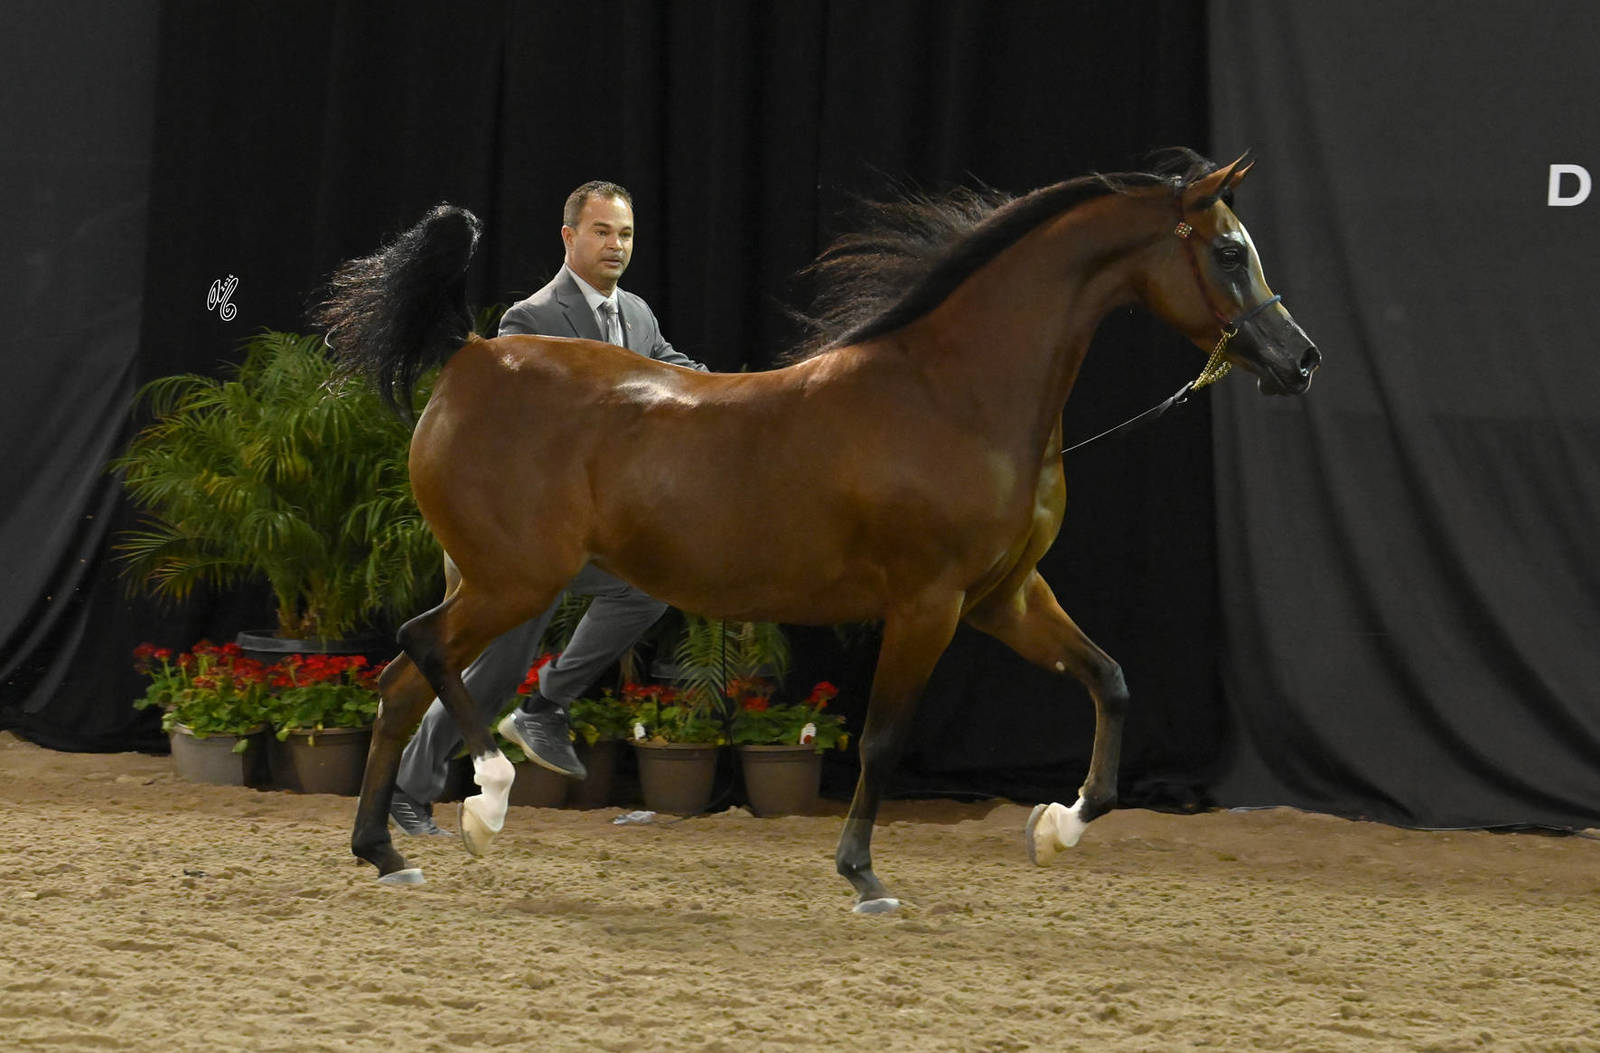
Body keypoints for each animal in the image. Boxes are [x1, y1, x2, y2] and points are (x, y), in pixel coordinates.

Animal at [317, 150, 1319, 913]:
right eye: (1230, 251)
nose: (1301, 360)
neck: (953, 397)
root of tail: (472, 353)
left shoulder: (1004, 596)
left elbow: (1109, 680)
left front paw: (1058, 827)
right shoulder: (927, 604)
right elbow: (880, 740)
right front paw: (865, 876)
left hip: (493, 579)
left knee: (401, 685)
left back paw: (388, 853)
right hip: (512, 580)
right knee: (421, 650)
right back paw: (486, 797)